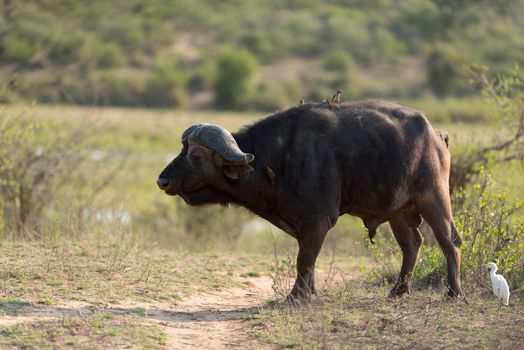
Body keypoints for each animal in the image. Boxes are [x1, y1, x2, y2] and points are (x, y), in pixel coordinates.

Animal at [157, 100, 462, 302]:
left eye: (195, 156)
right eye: (182, 150)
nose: (162, 181)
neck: (278, 158)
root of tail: (437, 136)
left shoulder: (319, 219)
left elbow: (304, 259)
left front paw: (297, 297)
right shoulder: (304, 224)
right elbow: (308, 258)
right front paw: (310, 292)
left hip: (433, 197)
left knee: (450, 240)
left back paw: (453, 292)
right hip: (399, 211)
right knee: (412, 244)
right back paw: (398, 291)